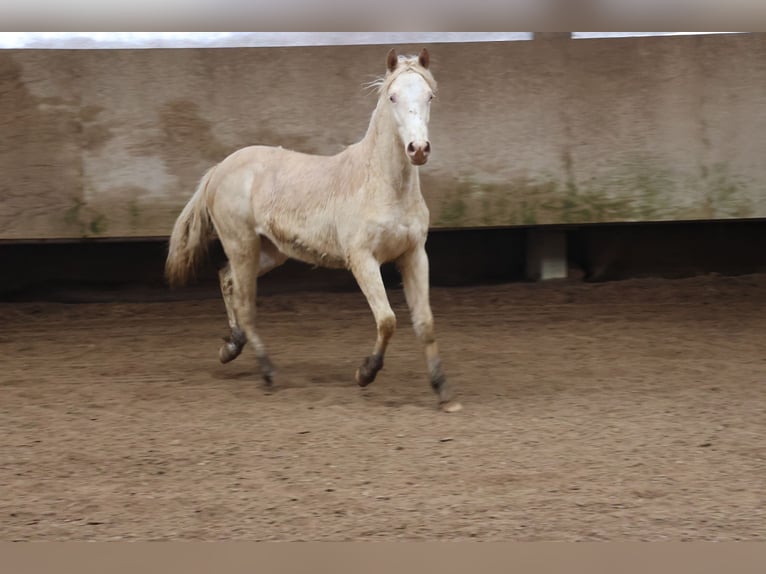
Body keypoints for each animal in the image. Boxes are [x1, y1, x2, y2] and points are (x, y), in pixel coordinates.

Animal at [166, 47, 462, 412]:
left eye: (429, 96)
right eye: (393, 96)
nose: (418, 149)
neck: (382, 185)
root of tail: (219, 169)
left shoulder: (414, 255)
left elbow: (425, 322)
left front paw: (443, 392)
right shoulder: (362, 259)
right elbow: (387, 319)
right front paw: (365, 373)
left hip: (269, 251)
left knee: (226, 279)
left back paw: (231, 347)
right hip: (242, 244)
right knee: (246, 305)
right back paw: (268, 373)